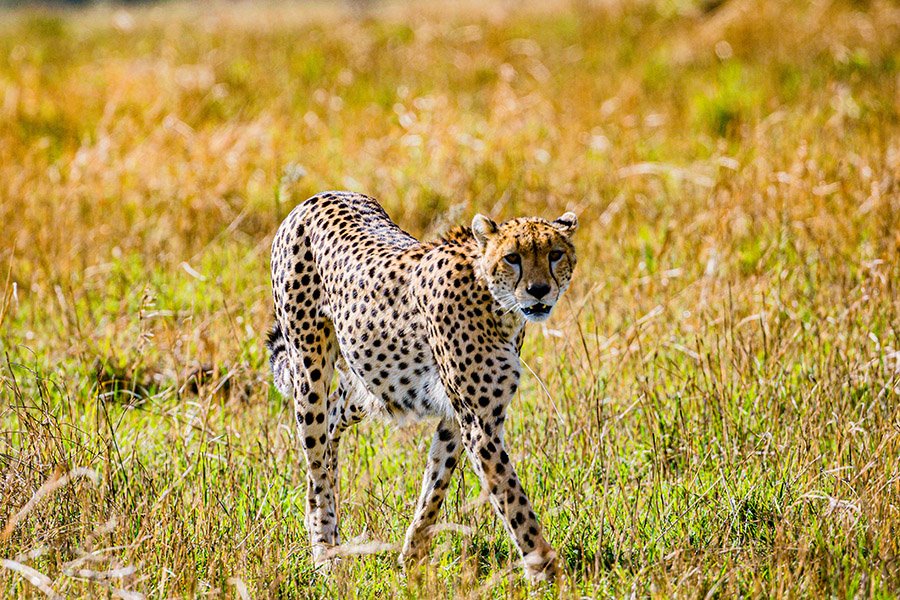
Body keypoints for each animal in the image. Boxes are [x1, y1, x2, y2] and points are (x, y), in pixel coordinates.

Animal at [266, 191, 576, 580]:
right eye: (512, 258)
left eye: (555, 254)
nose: (539, 291)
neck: (494, 302)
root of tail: (319, 196)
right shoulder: (480, 423)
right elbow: (513, 499)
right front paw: (546, 571)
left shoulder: (458, 417)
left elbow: (436, 484)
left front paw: (411, 558)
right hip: (310, 369)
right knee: (316, 452)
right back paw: (325, 552)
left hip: (370, 385)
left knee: (331, 425)